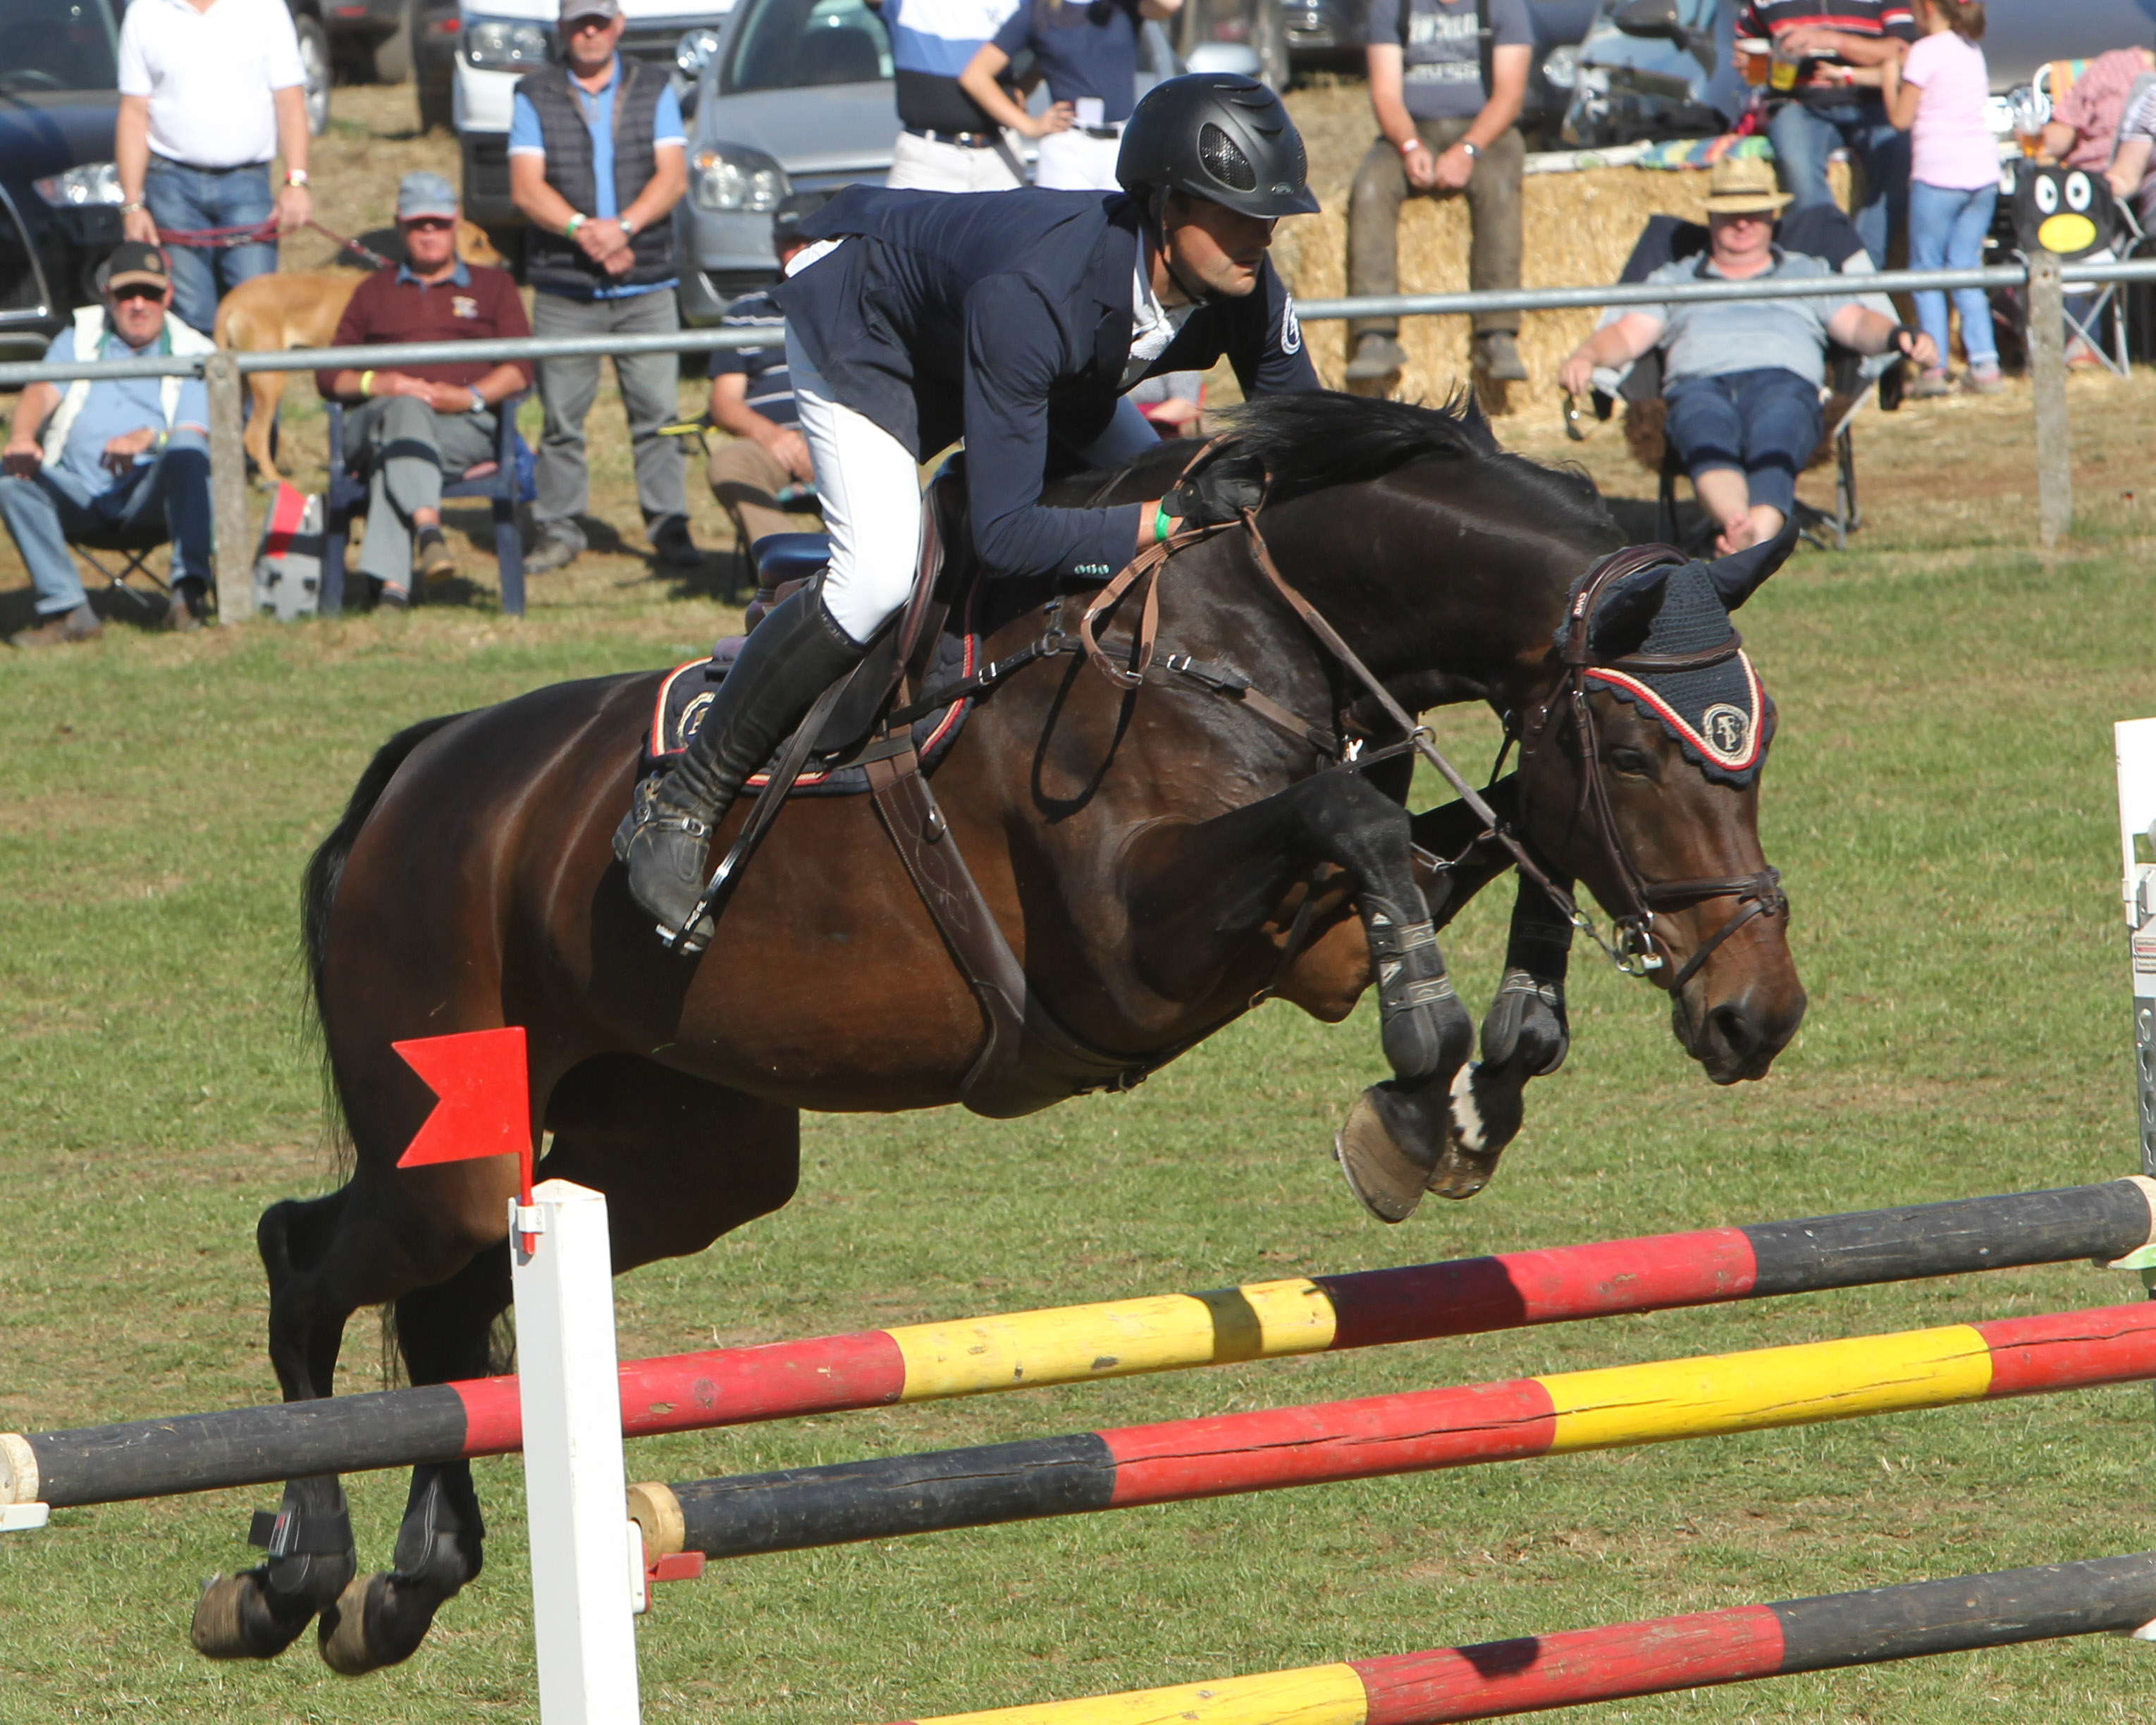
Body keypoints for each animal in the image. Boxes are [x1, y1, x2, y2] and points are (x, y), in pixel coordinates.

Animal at [194, 388, 1802, 1673]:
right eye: (1643, 750)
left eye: (1756, 743)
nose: (1756, 1010)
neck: (1245, 629)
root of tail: (420, 771)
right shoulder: (1135, 947)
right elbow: (1360, 825)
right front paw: (1426, 1052)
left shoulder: (1303, 940)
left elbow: (1481, 830)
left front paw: (1474, 1084)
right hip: (454, 1129)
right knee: (309, 1254)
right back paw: (291, 1575)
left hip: (677, 1156)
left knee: (456, 1305)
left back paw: (399, 1587)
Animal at [215, 221, 508, 485]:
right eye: (478, 243)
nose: (507, 264)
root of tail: (232, 299)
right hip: (270, 379)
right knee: (254, 437)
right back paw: (276, 481)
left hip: (244, 383)